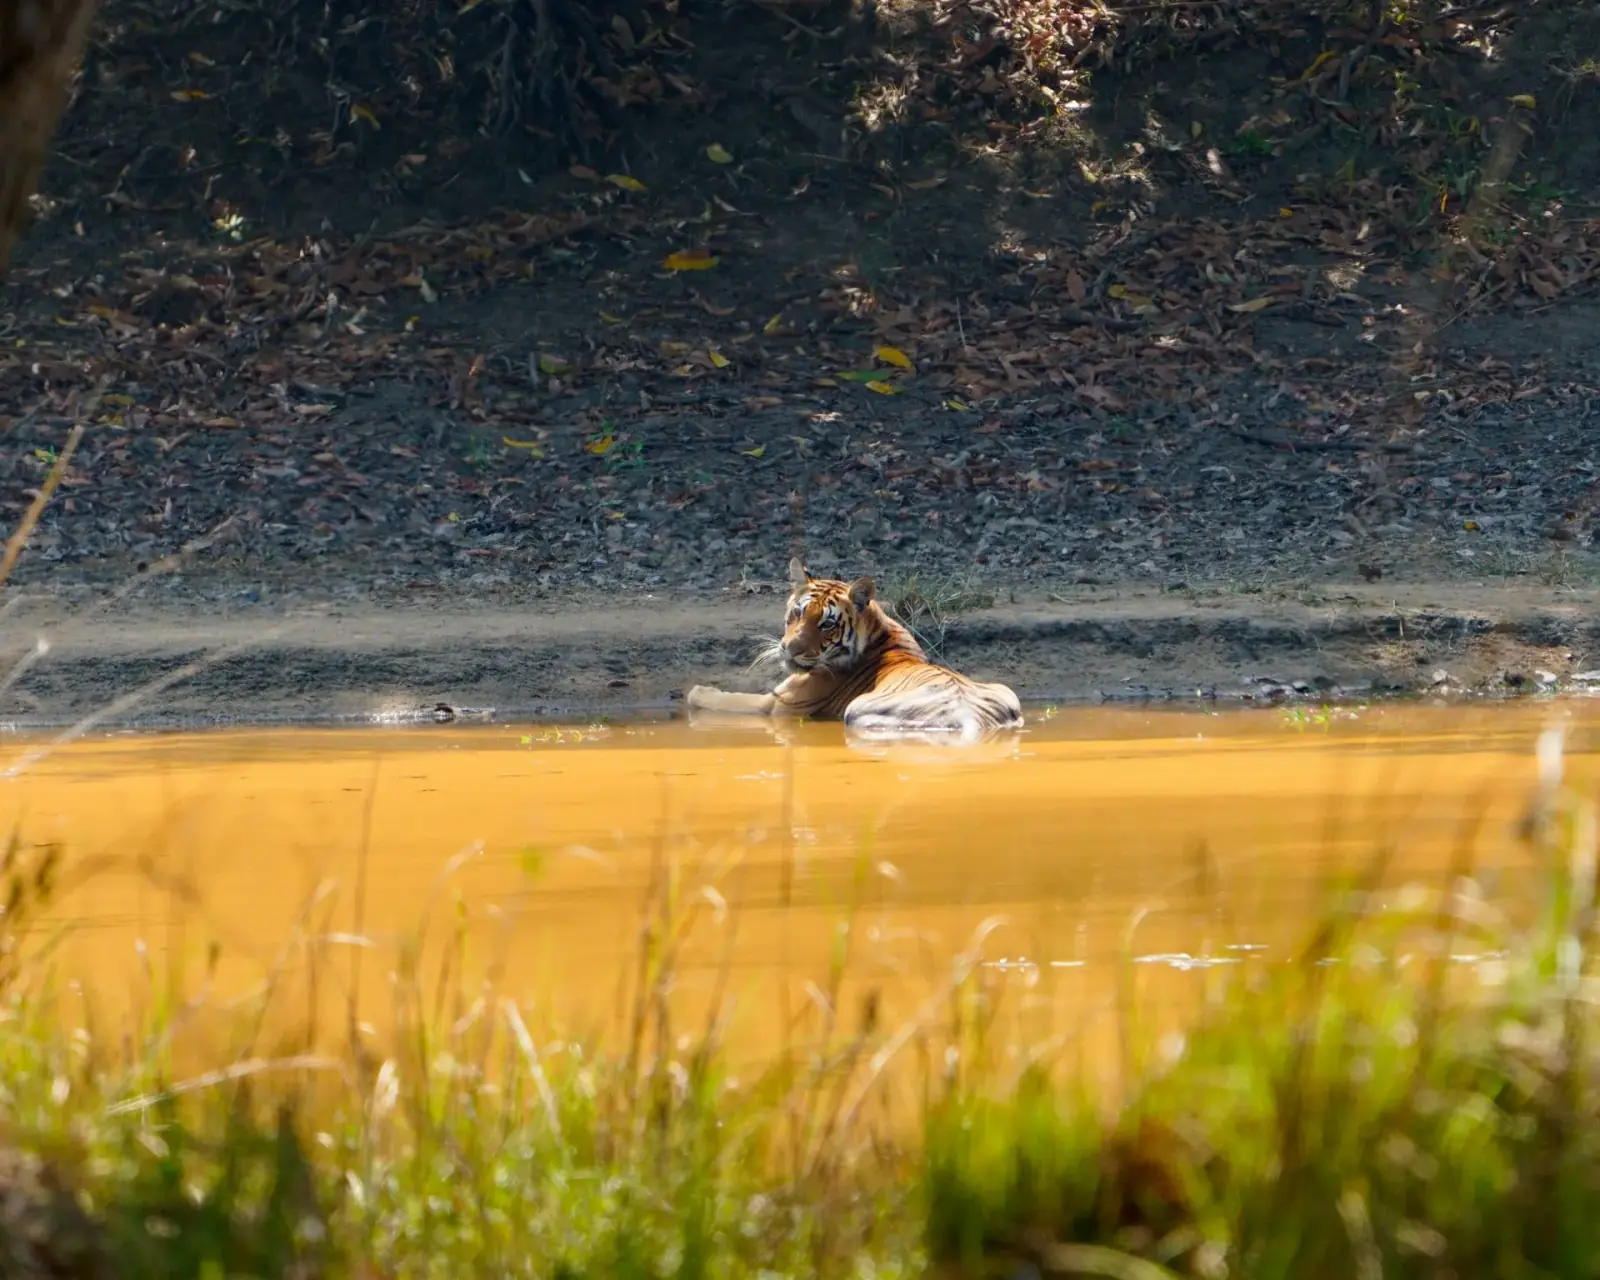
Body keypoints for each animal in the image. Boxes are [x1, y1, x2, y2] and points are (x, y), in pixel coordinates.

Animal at [685, 558, 1024, 739]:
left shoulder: (778, 706)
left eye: (826, 624)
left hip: (858, 710)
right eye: (797, 612)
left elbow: (726, 701)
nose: (790, 649)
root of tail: (971, 717)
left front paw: (697, 691)